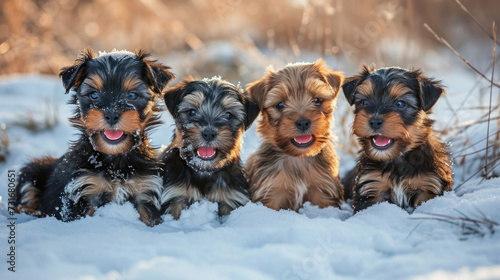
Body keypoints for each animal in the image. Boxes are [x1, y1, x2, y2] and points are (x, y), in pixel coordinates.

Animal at [15, 48, 174, 226]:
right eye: (94, 95)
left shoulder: (144, 189)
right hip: (32, 172)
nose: (111, 115)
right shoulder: (83, 189)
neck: (115, 157)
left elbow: (148, 216)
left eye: (132, 96)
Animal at [160, 76, 260, 219]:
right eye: (191, 112)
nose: (208, 133)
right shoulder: (175, 195)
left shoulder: (230, 198)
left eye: (229, 115)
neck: (204, 171)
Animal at [244, 60, 346, 211]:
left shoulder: (323, 190)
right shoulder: (272, 190)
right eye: (280, 105)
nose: (303, 122)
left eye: (317, 100)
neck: (299, 158)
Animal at [344, 65, 454, 213]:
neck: (396, 159)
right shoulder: (372, 186)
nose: (374, 121)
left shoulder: (428, 185)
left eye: (400, 104)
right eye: (364, 102)